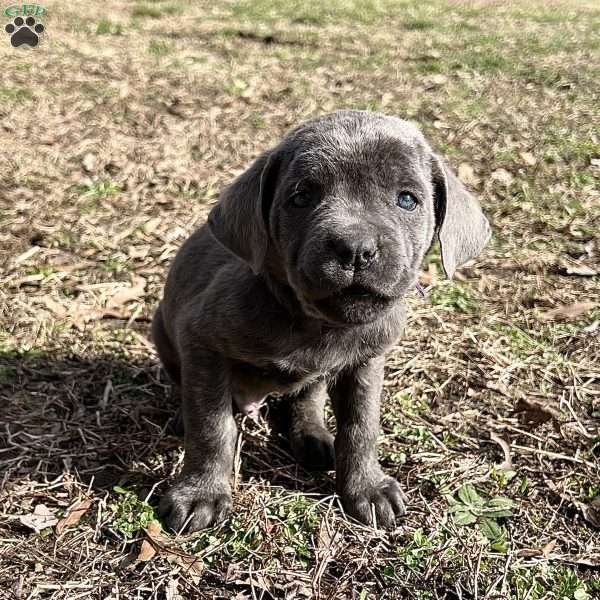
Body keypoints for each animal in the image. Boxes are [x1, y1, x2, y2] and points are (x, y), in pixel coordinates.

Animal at [152, 110, 490, 532]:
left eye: (407, 199)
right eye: (301, 198)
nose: (356, 249)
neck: (316, 325)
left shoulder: (367, 363)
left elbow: (361, 426)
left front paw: (366, 488)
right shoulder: (202, 342)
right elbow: (212, 425)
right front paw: (201, 492)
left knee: (307, 395)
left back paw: (312, 435)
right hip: (162, 331)